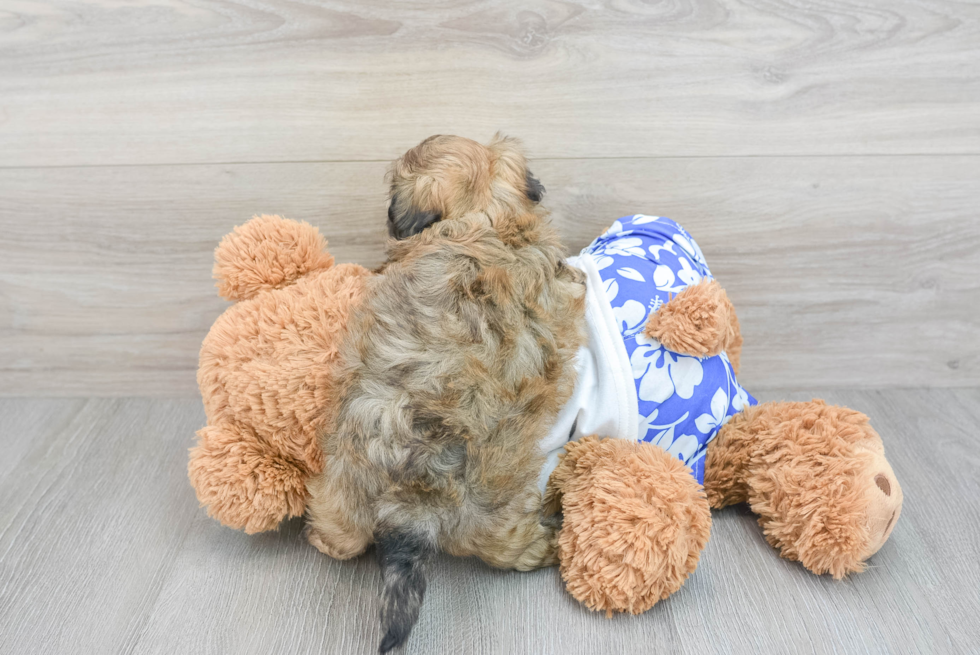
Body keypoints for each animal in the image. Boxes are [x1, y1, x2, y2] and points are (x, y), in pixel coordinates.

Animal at [306, 136, 580, 652]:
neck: (483, 212)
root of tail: (414, 494)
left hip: (345, 489)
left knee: (340, 539)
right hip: (491, 510)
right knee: (501, 547)